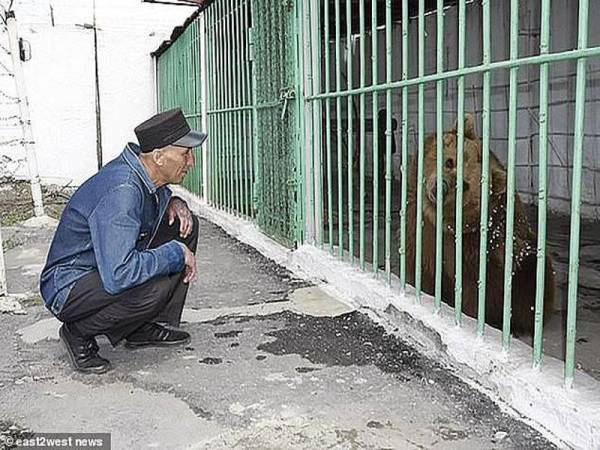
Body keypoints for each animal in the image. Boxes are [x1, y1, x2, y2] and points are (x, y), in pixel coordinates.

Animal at [400, 114, 556, 336]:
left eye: (465, 185)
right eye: (450, 161)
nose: (441, 188)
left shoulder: (476, 250)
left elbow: (474, 290)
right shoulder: (420, 227)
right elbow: (421, 264)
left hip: (528, 264)